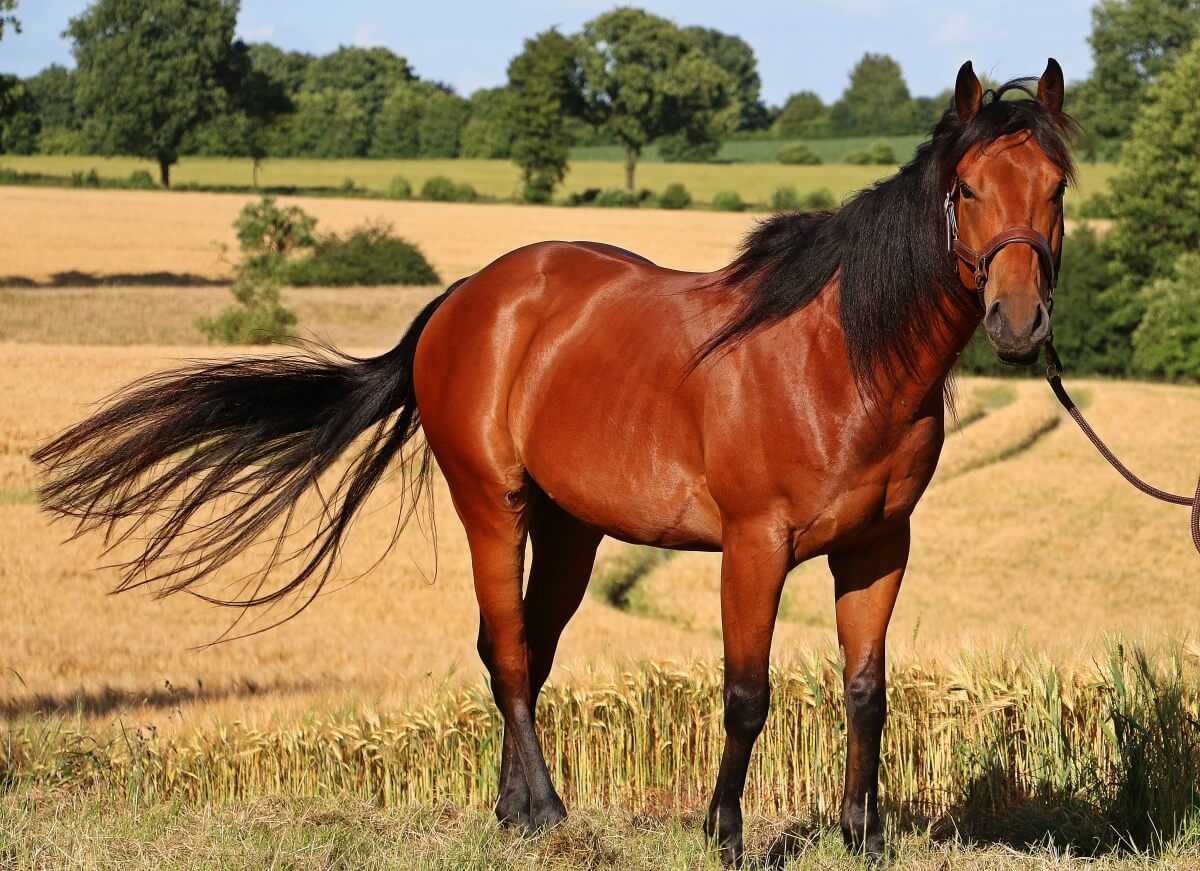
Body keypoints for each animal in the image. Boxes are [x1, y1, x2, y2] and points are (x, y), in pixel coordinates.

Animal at [33, 59, 1074, 866]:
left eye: (1057, 189)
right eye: (967, 188)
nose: (1019, 323)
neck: (838, 359)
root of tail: (465, 299)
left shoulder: (879, 547)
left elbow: (867, 692)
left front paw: (863, 835)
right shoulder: (755, 546)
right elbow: (746, 695)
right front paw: (726, 834)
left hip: (572, 528)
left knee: (528, 648)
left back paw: (510, 808)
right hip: (492, 505)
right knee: (504, 648)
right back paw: (543, 810)